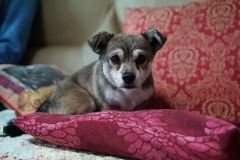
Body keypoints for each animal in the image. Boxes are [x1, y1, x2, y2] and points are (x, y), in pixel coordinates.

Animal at [3, 28, 166, 136]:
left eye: (141, 59)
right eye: (114, 59)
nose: (128, 76)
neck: (127, 93)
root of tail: (50, 99)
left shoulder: (143, 103)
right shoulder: (107, 105)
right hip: (86, 100)